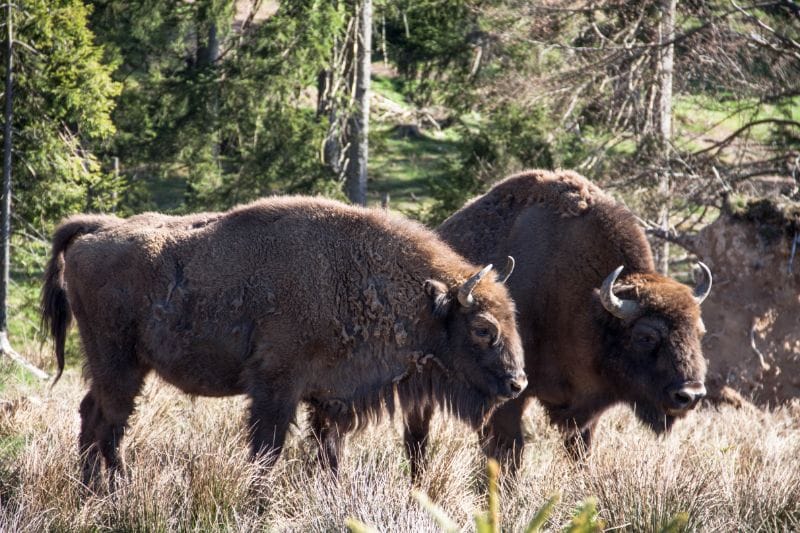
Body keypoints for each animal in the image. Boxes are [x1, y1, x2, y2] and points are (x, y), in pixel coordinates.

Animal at [42, 196, 524, 486]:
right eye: (483, 328)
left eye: (512, 317)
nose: (517, 382)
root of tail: (95, 231)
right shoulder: (276, 388)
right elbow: (267, 450)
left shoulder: (329, 399)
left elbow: (330, 454)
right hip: (118, 364)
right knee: (110, 425)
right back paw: (117, 488)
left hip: (116, 366)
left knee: (92, 415)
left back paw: (89, 490)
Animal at [400, 168, 712, 468]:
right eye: (645, 336)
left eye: (699, 332)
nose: (691, 394)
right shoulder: (510, 395)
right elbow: (509, 451)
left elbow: (580, 451)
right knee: (417, 435)